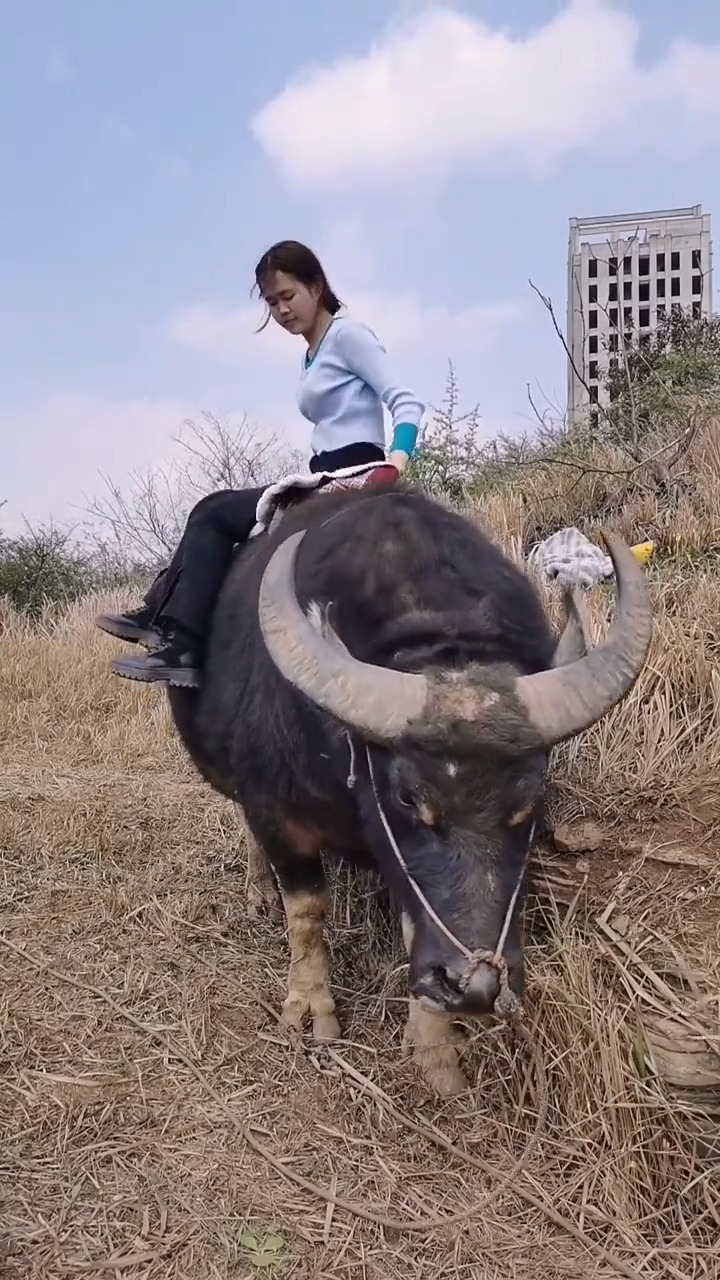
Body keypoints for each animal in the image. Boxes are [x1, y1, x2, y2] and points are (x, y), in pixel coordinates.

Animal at [167, 483, 650, 1095]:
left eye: (529, 801)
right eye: (406, 797)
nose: (475, 987)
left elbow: (413, 922)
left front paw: (434, 1049)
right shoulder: (276, 812)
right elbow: (307, 910)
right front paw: (309, 1007)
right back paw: (259, 889)